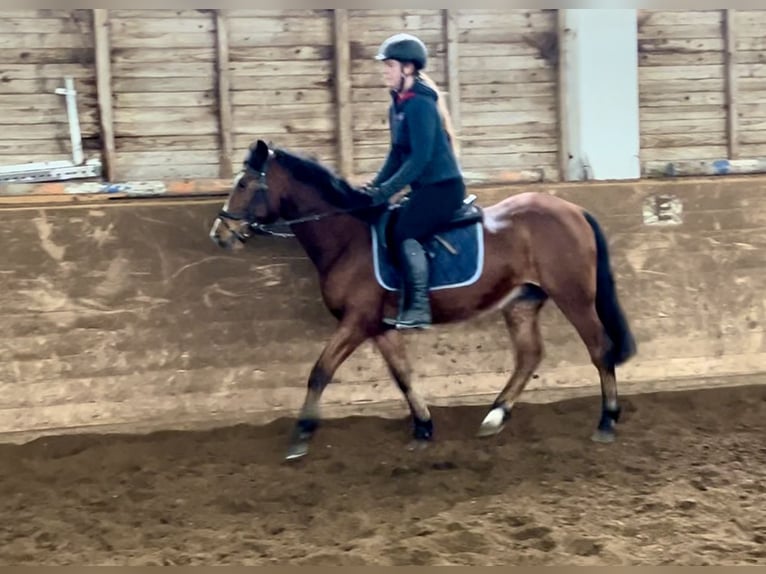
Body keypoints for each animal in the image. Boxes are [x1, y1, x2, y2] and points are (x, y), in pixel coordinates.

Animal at [208, 140, 636, 464]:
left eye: (245, 183)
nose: (220, 233)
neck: (348, 238)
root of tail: (574, 209)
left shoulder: (356, 322)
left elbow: (319, 372)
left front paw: (300, 436)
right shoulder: (378, 327)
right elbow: (403, 375)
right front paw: (423, 427)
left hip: (574, 296)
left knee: (600, 349)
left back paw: (606, 422)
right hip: (522, 301)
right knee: (529, 355)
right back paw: (495, 416)